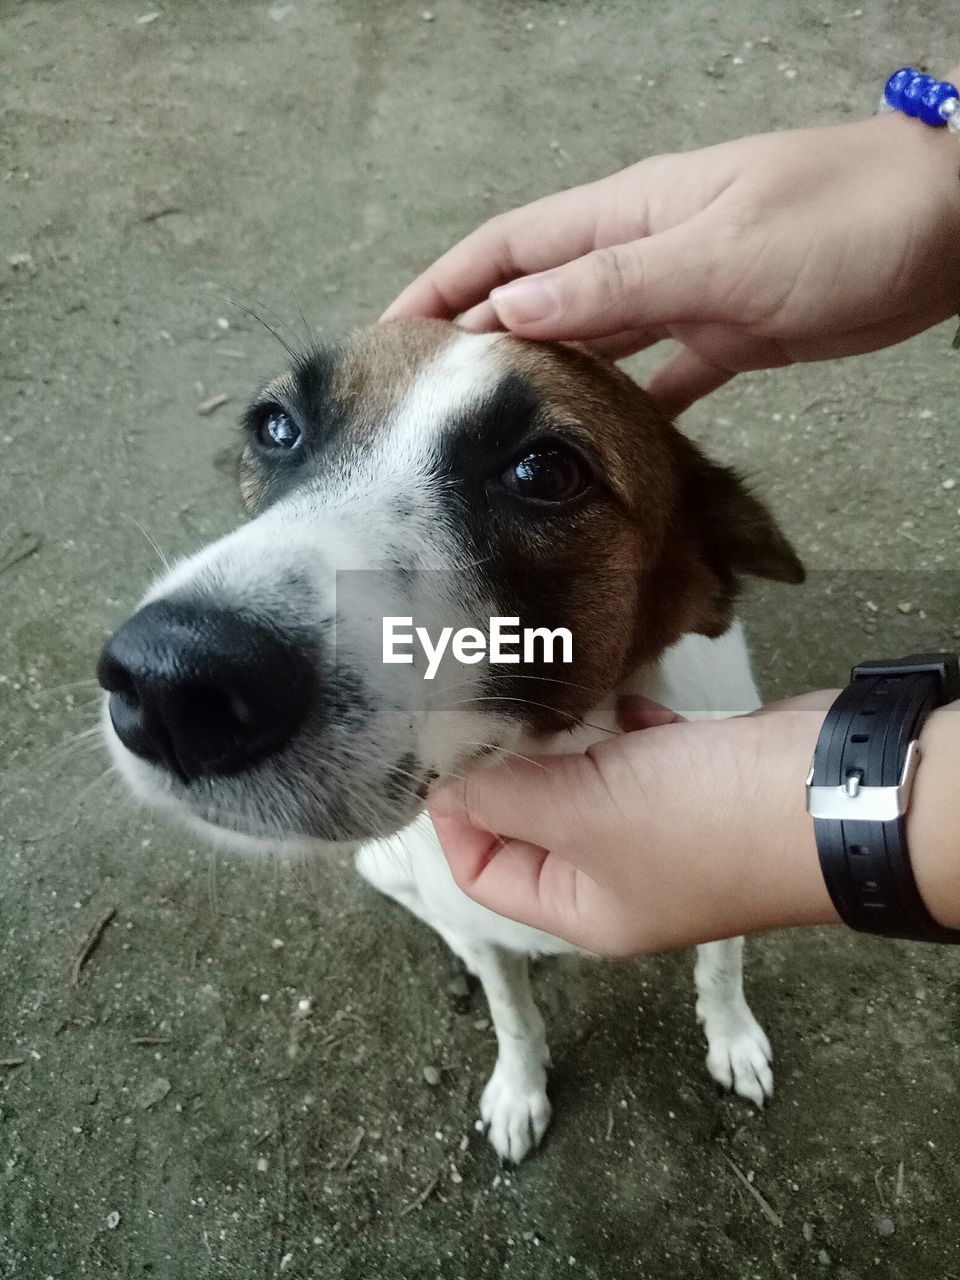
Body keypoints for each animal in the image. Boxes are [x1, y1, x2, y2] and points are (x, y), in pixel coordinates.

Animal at [99, 317, 803, 1162]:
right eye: (276, 427)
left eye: (544, 471)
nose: (170, 684)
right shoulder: (483, 927)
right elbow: (513, 1014)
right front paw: (520, 1089)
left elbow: (721, 968)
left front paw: (731, 1038)